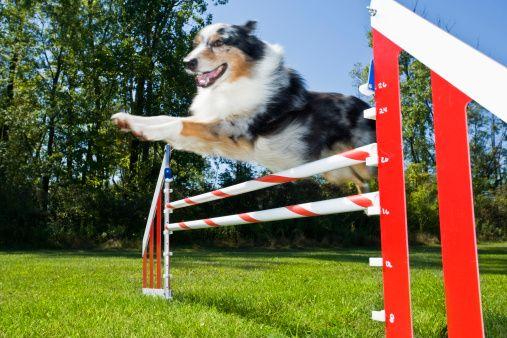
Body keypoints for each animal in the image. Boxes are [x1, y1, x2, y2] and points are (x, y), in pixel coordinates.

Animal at [111, 20, 376, 190]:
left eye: (219, 43)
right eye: (197, 43)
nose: (187, 62)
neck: (234, 81)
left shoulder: (229, 128)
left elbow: (178, 124)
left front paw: (142, 131)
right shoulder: (209, 122)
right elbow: (166, 118)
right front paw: (127, 119)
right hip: (339, 170)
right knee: (361, 184)